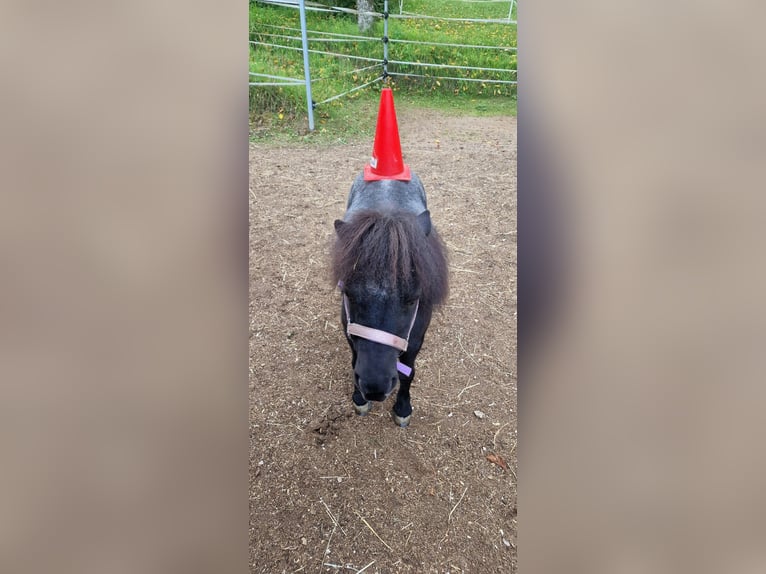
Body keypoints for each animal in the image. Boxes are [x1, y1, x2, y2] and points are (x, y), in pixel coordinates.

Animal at [331, 171, 449, 427]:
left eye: (413, 298)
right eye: (348, 293)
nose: (375, 387)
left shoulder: (415, 340)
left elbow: (408, 373)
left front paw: (403, 408)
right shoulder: (349, 330)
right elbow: (354, 360)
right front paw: (359, 398)